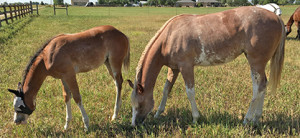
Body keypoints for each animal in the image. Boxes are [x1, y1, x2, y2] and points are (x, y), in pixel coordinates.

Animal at [127, 6, 286, 126]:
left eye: (139, 105)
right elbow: (166, 89)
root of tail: (275, 16)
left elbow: (190, 92)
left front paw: (195, 118)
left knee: (257, 88)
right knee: (263, 85)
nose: (134, 124)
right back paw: (256, 119)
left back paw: (247, 119)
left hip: (256, 62)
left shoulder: (186, 66)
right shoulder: (174, 68)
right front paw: (159, 113)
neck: (169, 36)